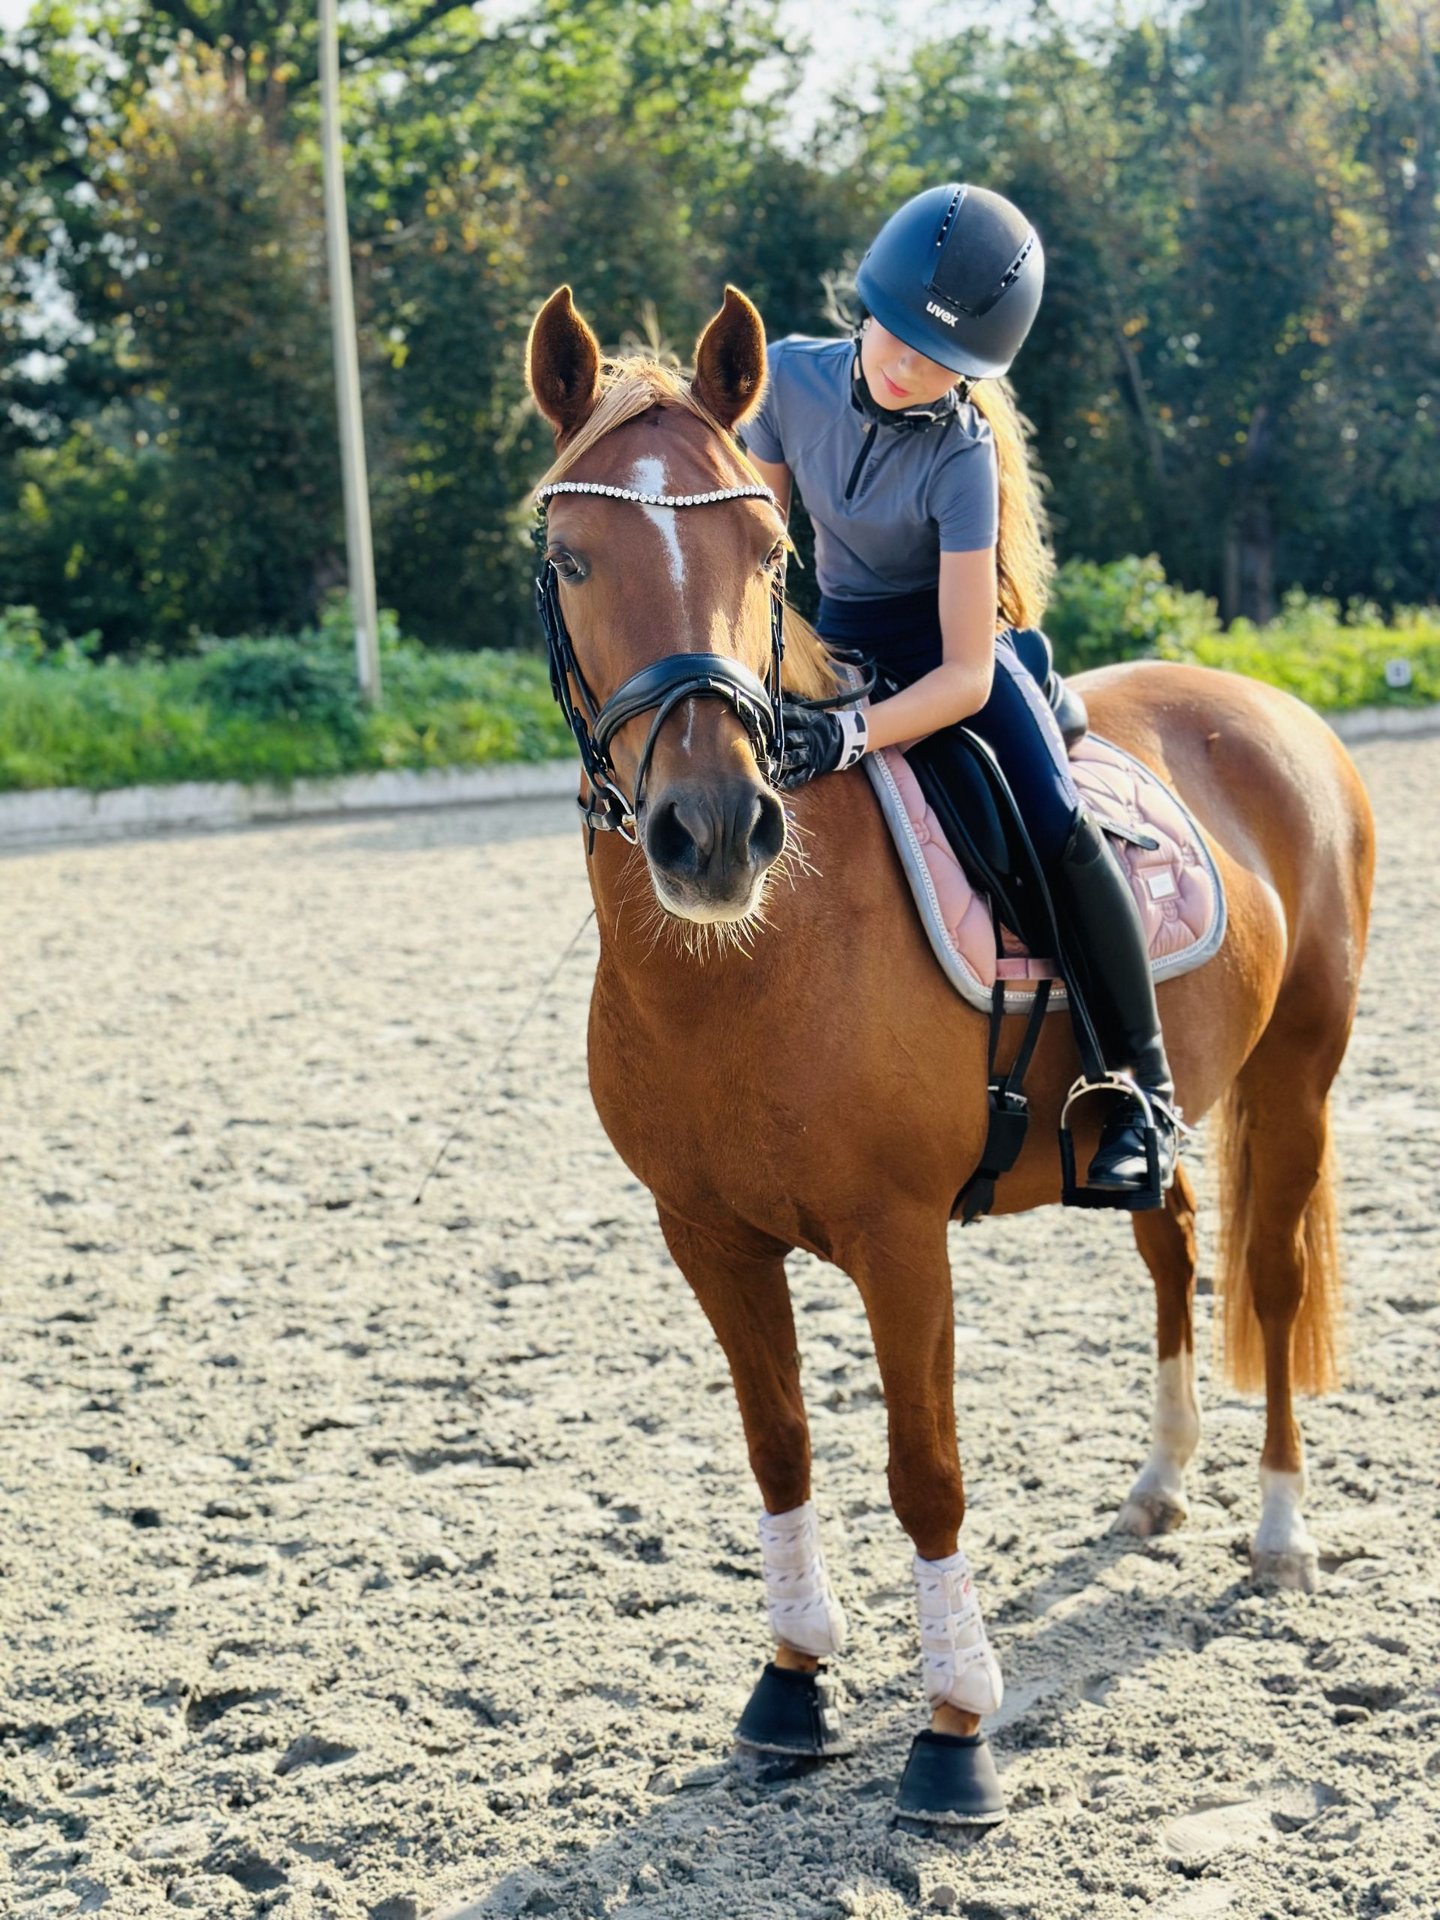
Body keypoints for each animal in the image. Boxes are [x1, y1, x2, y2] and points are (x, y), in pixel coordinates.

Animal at [523, 281, 1375, 1821]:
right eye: (570, 556)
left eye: (766, 553)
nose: (713, 830)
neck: (750, 967)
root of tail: (1273, 709)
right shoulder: (706, 1235)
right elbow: (780, 1447)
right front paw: (791, 1684)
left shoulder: (899, 1238)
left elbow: (926, 1470)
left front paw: (954, 1729)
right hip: (1151, 1114)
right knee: (1172, 1245)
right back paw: (1161, 1487)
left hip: (1302, 1077)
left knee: (1273, 1285)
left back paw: (1280, 1533)